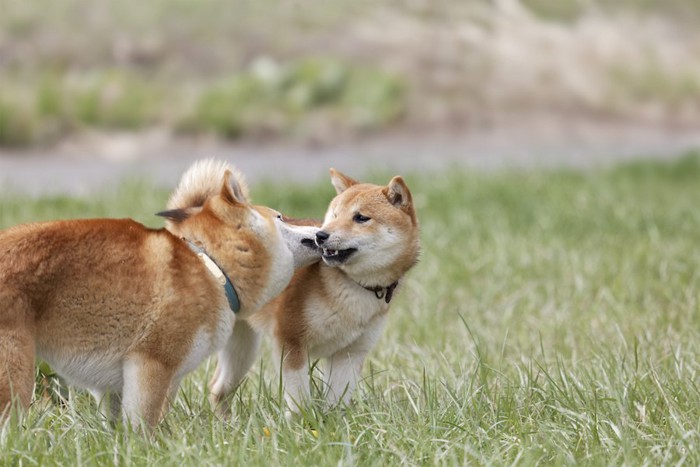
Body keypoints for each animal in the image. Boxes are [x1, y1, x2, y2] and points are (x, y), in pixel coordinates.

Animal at [0, 160, 322, 428]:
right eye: (280, 217)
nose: (321, 230)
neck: (210, 265)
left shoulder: (115, 387)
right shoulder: (151, 365)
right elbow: (144, 428)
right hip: (16, 379)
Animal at [209, 169, 422, 416]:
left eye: (361, 218)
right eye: (335, 215)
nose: (321, 235)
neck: (351, 286)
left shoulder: (350, 353)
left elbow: (336, 400)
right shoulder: (291, 342)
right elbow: (299, 399)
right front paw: (301, 423)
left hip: (241, 350)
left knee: (218, 389)